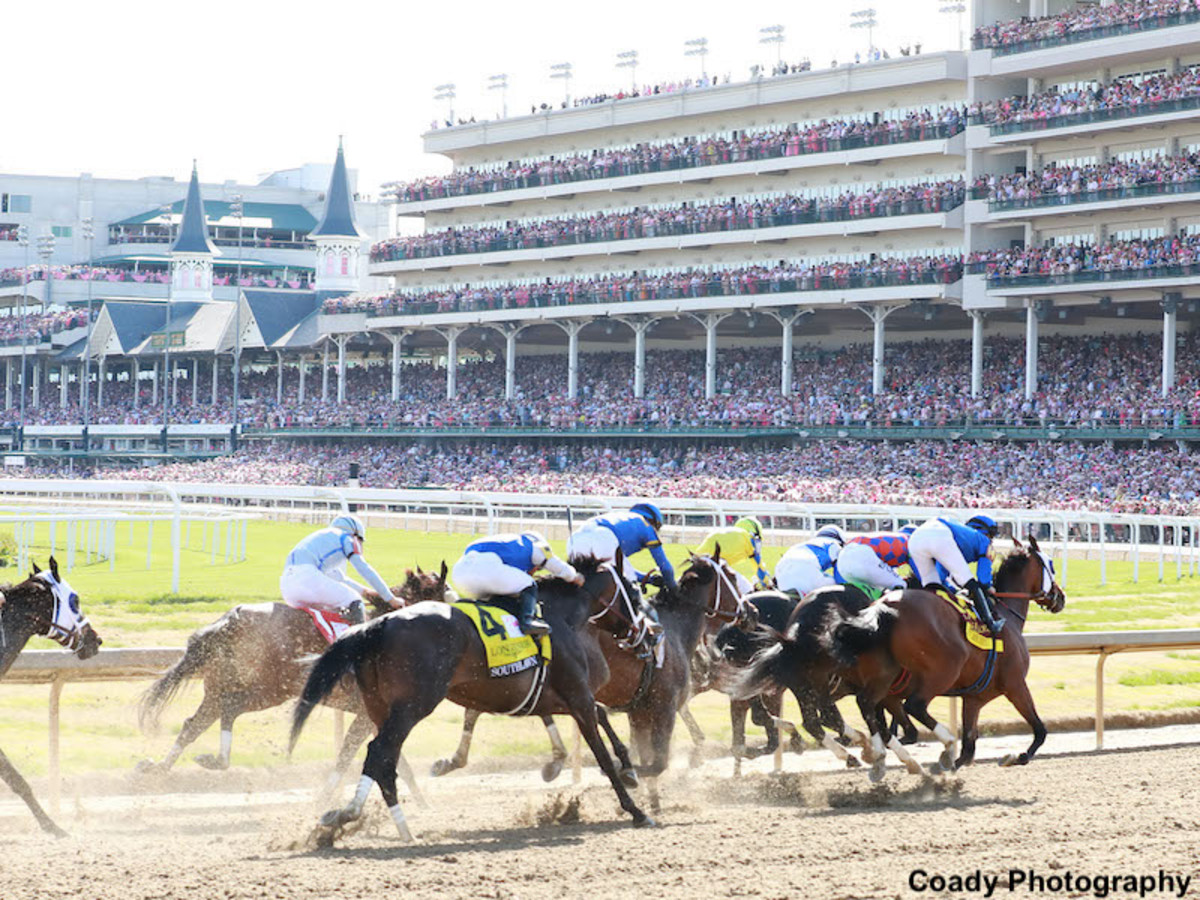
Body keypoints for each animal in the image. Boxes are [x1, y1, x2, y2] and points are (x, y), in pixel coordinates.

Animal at [288, 561, 657, 844]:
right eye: (634, 594)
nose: (649, 635)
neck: (561, 618)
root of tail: (379, 624)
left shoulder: (550, 698)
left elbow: (596, 721)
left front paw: (626, 771)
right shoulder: (577, 697)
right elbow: (601, 752)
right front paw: (636, 809)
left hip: (381, 707)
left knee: (382, 758)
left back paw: (361, 819)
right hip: (412, 706)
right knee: (380, 752)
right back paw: (382, 823)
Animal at [820, 540, 1065, 777]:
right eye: (1051, 565)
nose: (1061, 597)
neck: (1005, 616)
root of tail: (883, 608)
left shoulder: (974, 698)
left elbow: (968, 749)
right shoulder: (1015, 685)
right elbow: (1040, 730)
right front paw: (1017, 756)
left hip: (878, 681)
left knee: (859, 707)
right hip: (944, 669)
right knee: (913, 706)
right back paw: (937, 743)